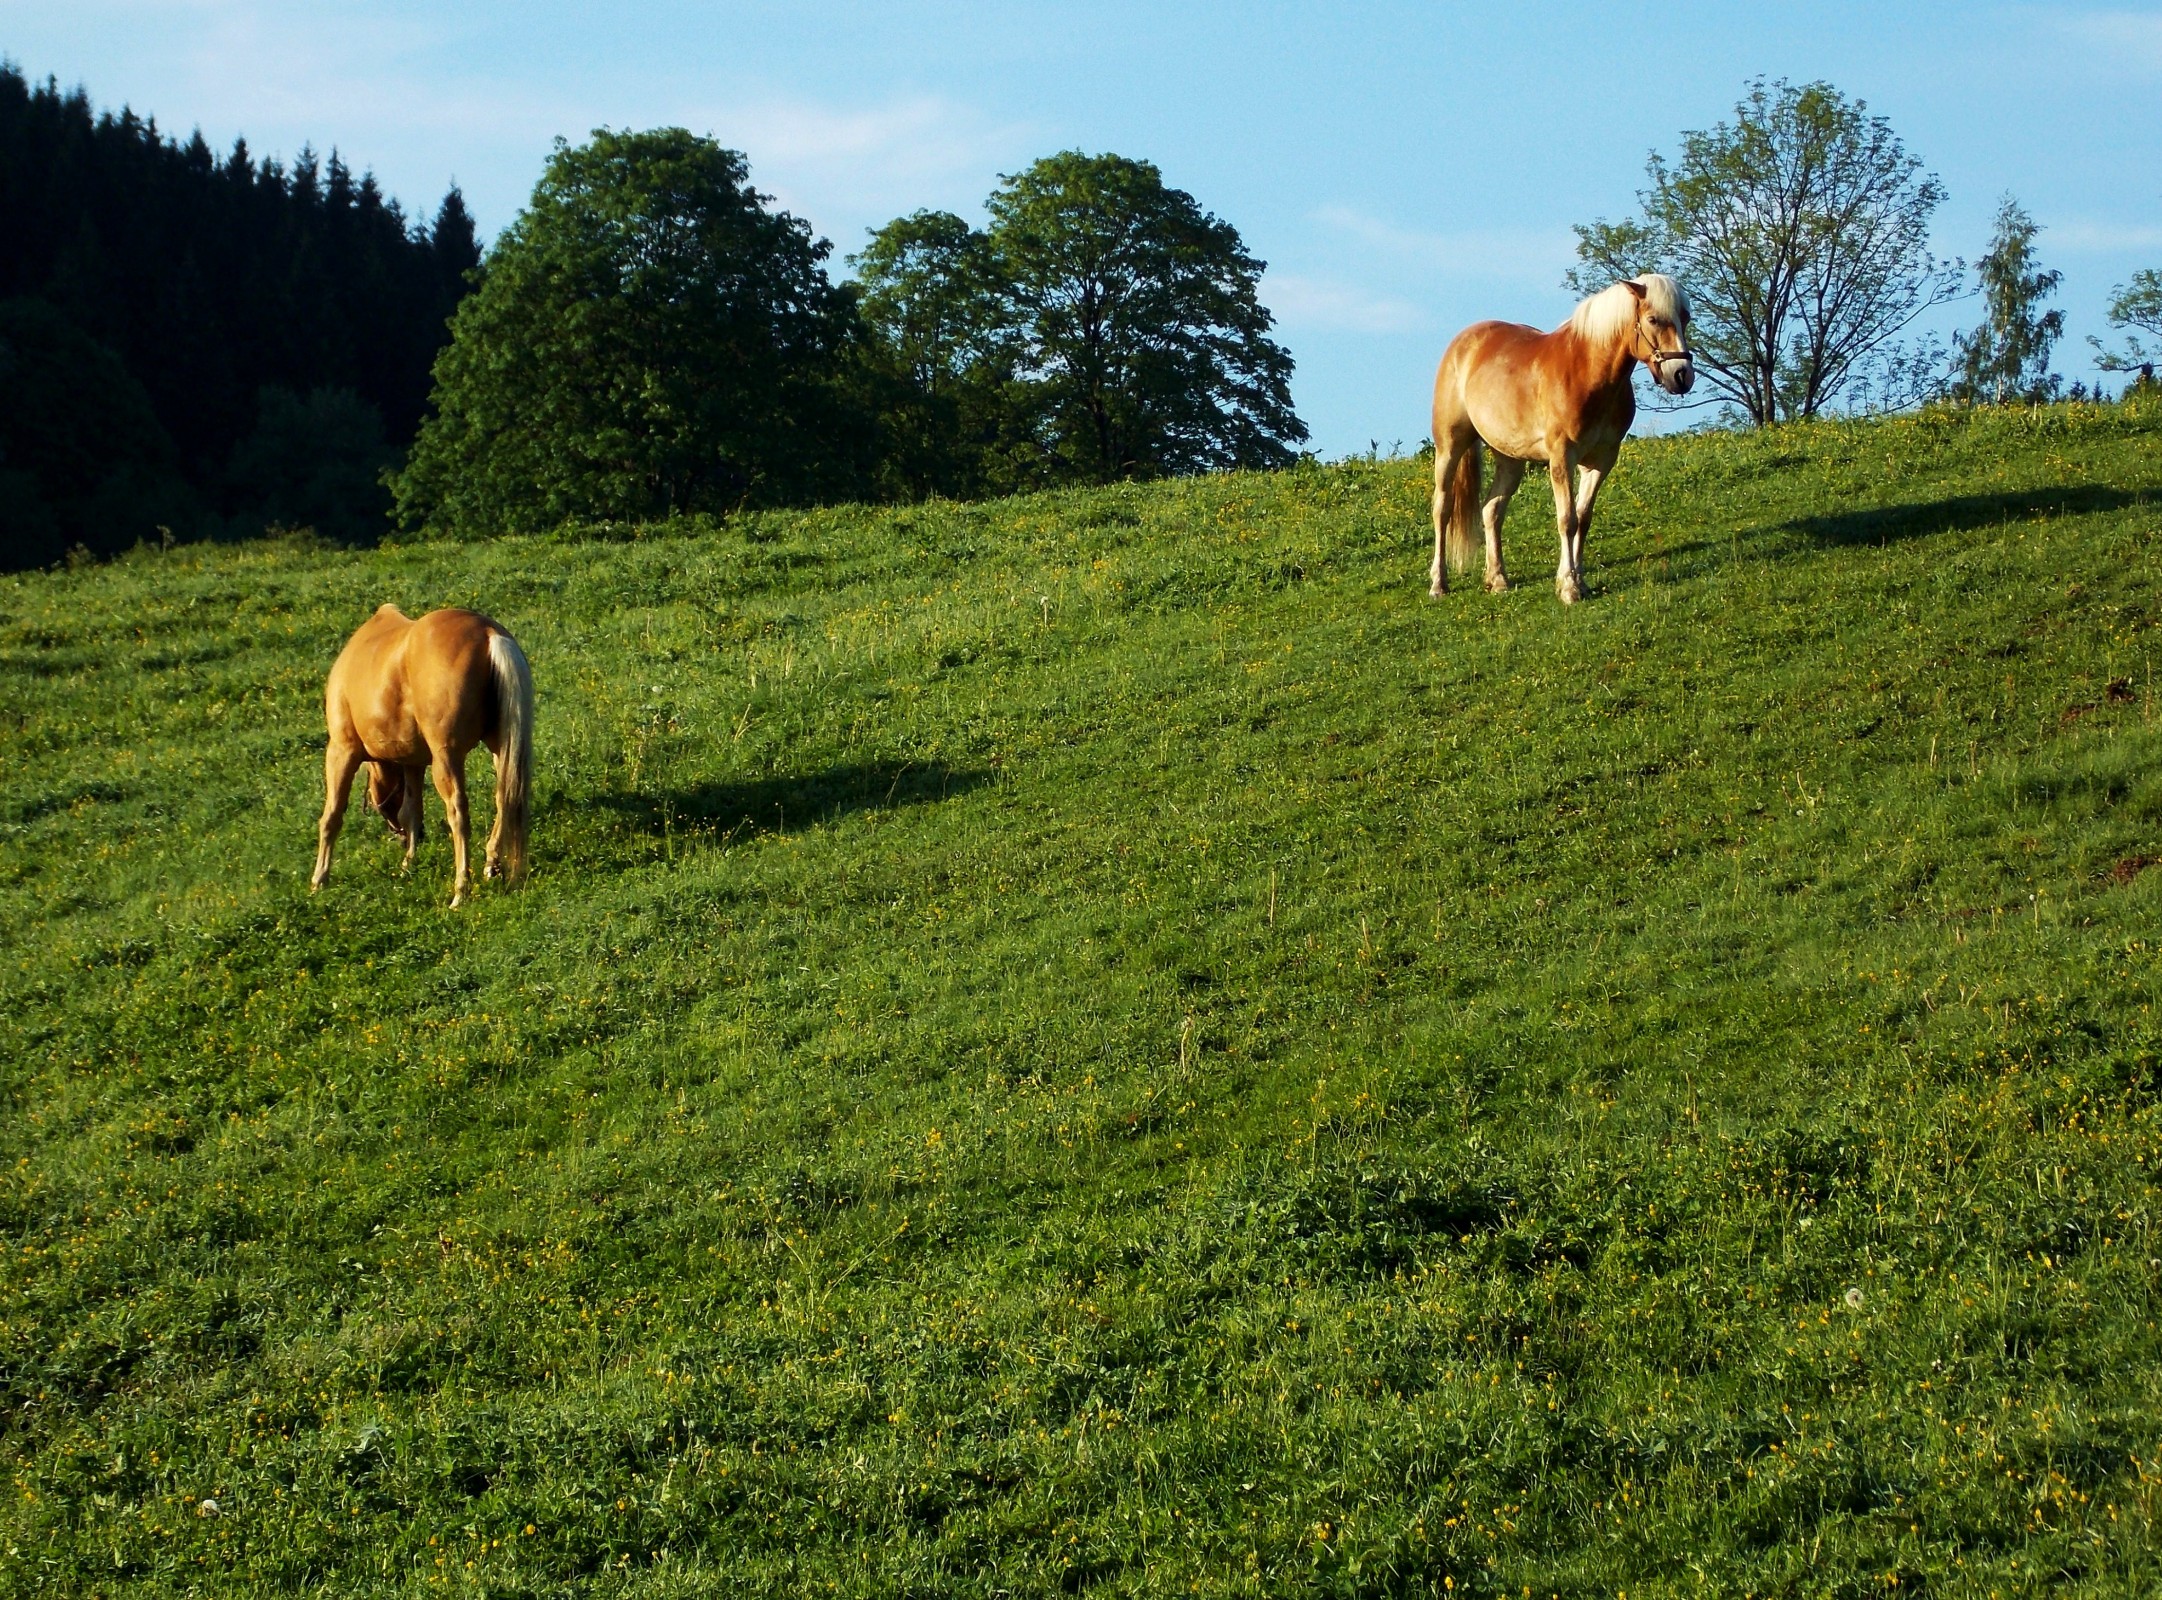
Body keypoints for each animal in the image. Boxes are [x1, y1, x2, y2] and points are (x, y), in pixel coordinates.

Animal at [311, 605, 533, 908]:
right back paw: (491, 863)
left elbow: (332, 816)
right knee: (504, 797)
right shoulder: (413, 762)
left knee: (458, 812)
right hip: (501, 747)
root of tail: (488, 634)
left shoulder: (342, 750)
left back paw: (460, 890)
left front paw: (319, 879)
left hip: (446, 757)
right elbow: (411, 811)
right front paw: (409, 861)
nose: (399, 838)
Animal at [1430, 273, 1694, 604]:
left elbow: (1583, 517)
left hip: (1510, 459)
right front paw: (1569, 587)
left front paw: (1579, 581)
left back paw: (1498, 579)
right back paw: (1439, 584)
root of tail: (1464, 342)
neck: (1587, 372)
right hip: (1449, 446)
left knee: (1492, 510)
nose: (1682, 375)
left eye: (1686, 318)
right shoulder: (1562, 457)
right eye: (1653, 319)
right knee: (1442, 508)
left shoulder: (1601, 460)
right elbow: (1567, 520)